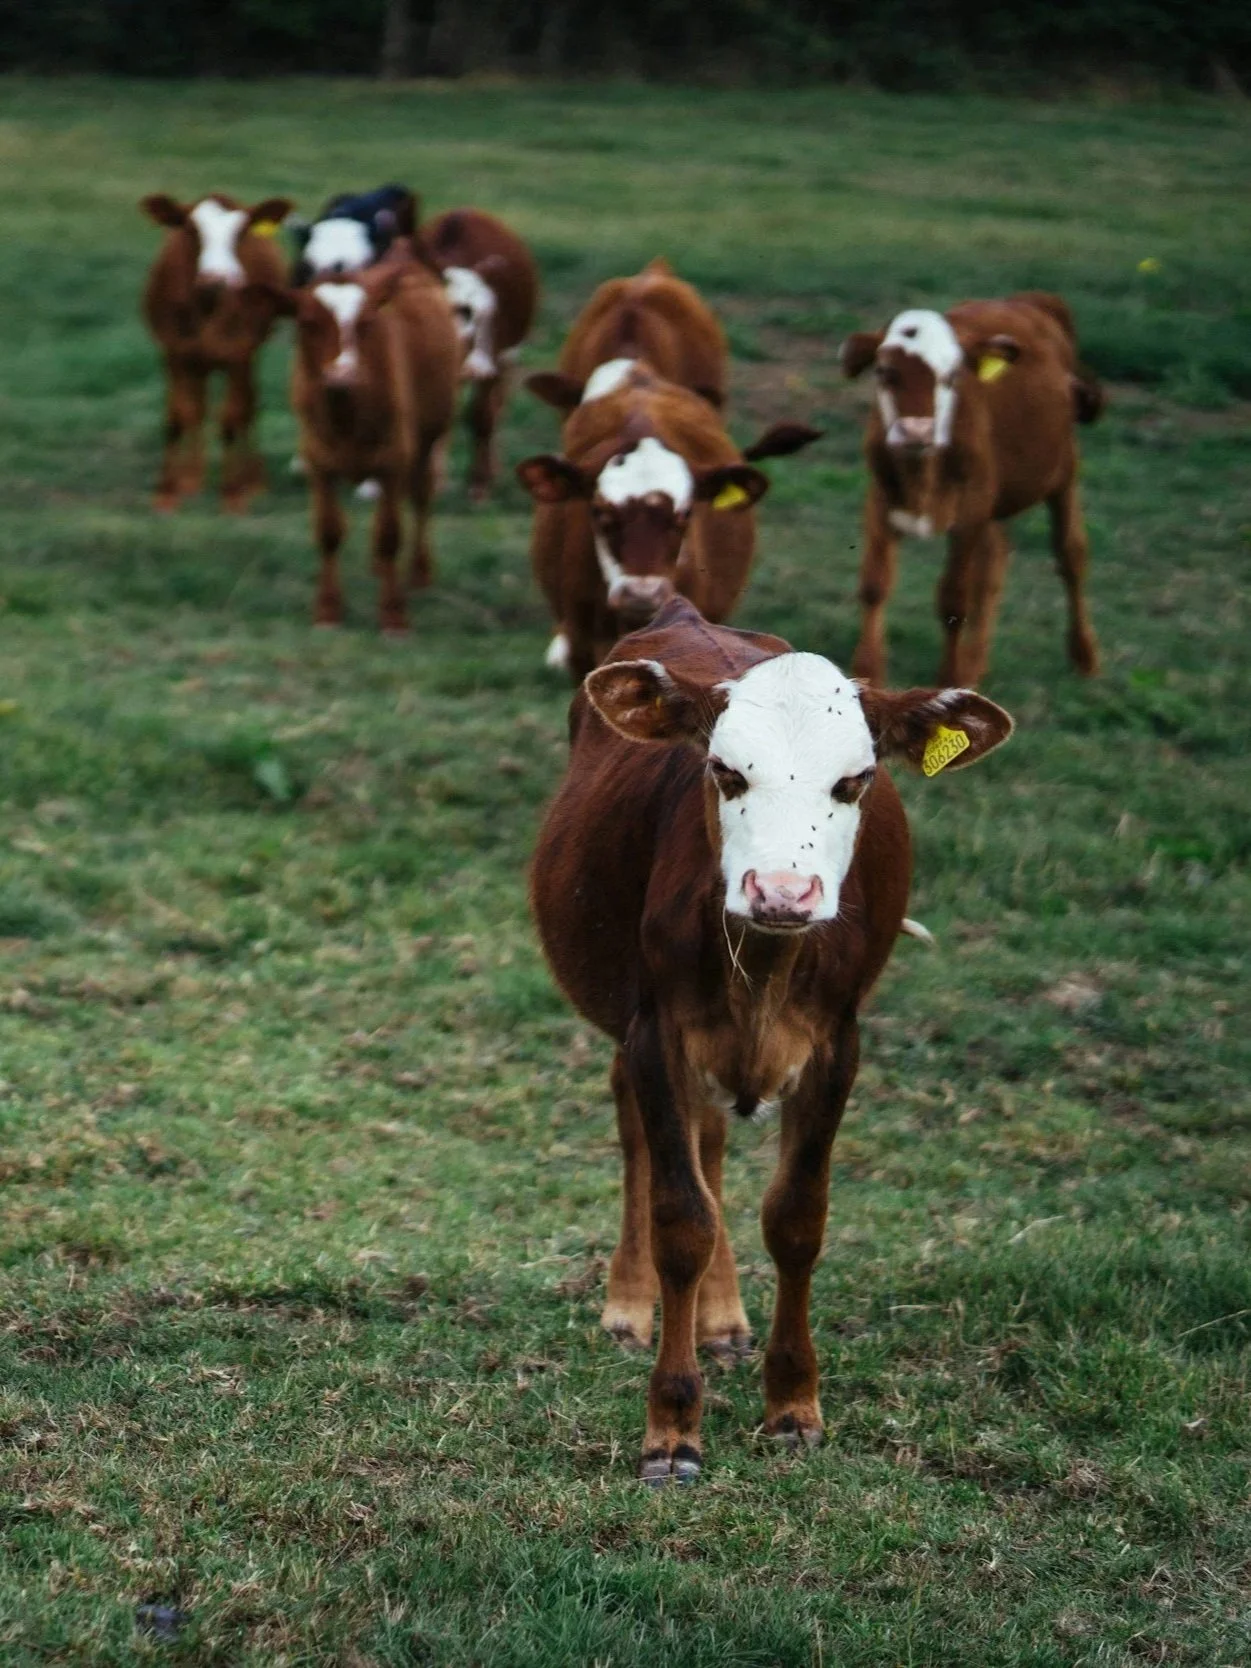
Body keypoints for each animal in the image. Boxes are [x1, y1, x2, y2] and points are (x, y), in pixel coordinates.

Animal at [140, 192, 294, 512]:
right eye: (191, 229)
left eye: (242, 232)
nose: (218, 278)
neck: (208, 309)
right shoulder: (174, 353)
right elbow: (177, 416)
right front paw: (167, 491)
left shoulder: (239, 354)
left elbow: (231, 418)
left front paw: (233, 493)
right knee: (197, 410)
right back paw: (192, 478)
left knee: (248, 406)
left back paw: (254, 481)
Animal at [258, 261, 460, 632]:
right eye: (308, 322)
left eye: (366, 323)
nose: (342, 375)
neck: (347, 415)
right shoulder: (318, 462)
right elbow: (329, 532)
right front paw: (327, 610)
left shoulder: (394, 459)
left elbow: (389, 535)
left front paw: (393, 614)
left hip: (431, 436)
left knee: (421, 497)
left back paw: (420, 571)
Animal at [419, 208, 540, 499]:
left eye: (469, 311)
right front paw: (433, 480)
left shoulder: (493, 361)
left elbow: (482, 417)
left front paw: (480, 482)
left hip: (508, 356)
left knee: (497, 408)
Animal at [531, 595, 1014, 1482]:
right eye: (725, 771)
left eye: (855, 780)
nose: (783, 893)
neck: (764, 961)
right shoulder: (656, 1033)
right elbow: (680, 1218)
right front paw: (671, 1426)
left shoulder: (836, 1046)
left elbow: (795, 1219)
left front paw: (792, 1406)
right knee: (644, 1134)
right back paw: (628, 1302)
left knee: (712, 1142)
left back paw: (722, 1318)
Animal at [840, 292, 1104, 688]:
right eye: (884, 372)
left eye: (951, 376)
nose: (917, 431)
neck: (922, 473)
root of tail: (1027, 300)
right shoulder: (880, 500)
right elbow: (874, 584)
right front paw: (867, 676)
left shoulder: (970, 512)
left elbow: (954, 599)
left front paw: (948, 680)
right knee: (994, 562)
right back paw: (975, 666)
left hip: (1062, 472)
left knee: (1070, 554)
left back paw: (1084, 657)